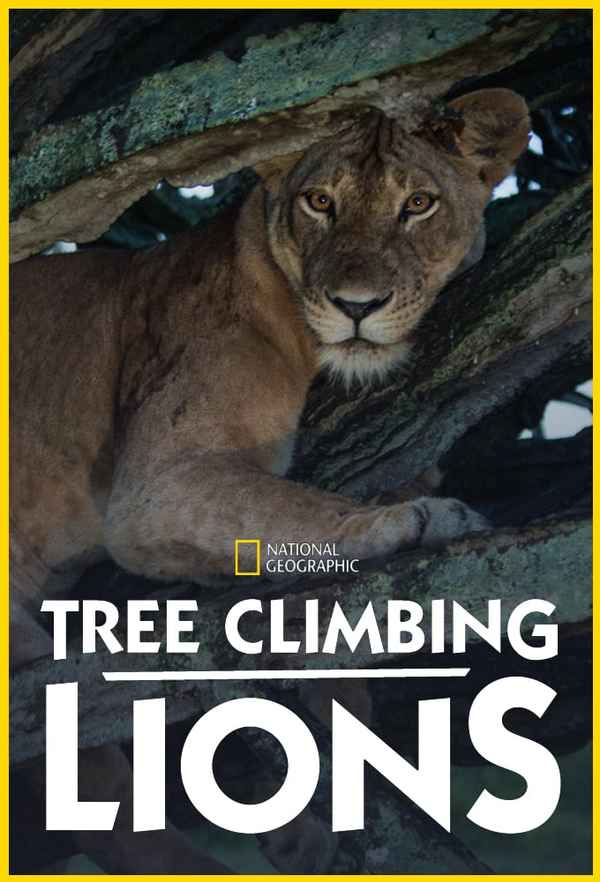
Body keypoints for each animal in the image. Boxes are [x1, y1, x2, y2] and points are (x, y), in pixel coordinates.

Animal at [10, 88, 530, 873]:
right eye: (320, 201)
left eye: (417, 204)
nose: (356, 306)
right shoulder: (158, 485)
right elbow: (295, 507)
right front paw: (420, 521)